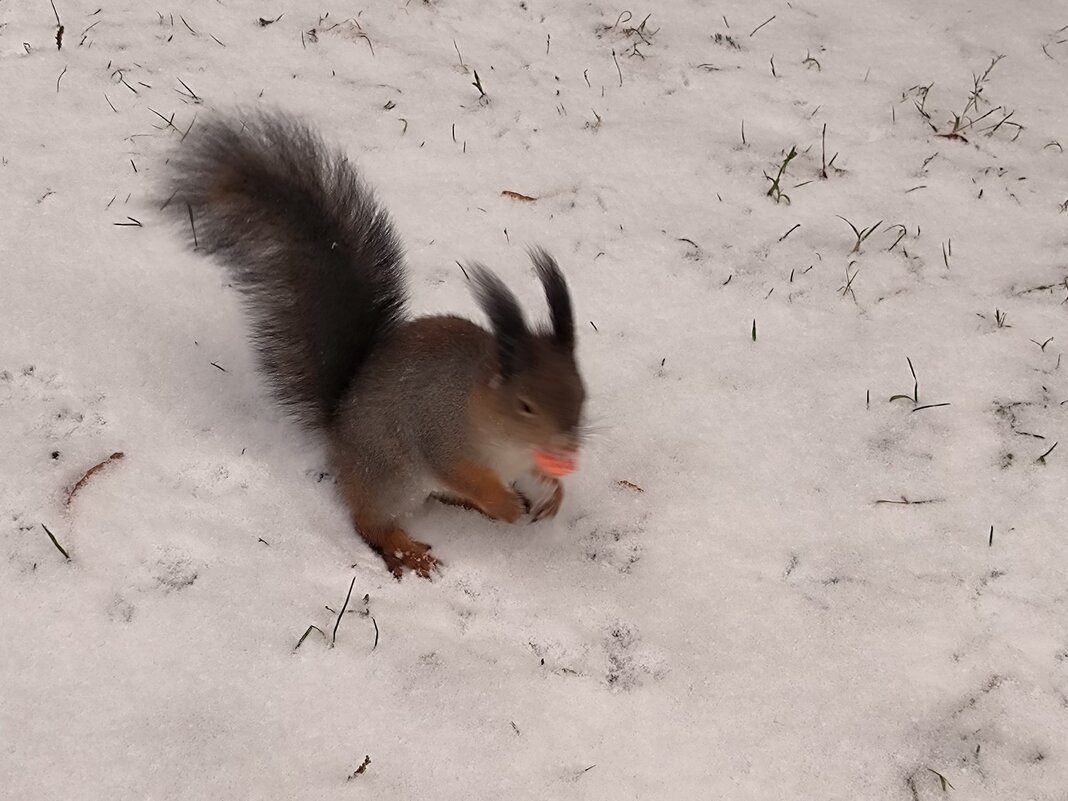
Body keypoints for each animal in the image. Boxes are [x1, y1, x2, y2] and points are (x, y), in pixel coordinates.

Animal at [162, 111, 589, 576]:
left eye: (581, 393)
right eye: (525, 405)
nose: (568, 445)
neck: (501, 433)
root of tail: (337, 434)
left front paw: (554, 492)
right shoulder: (441, 434)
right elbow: (460, 474)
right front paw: (505, 504)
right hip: (389, 479)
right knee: (369, 523)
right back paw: (409, 550)